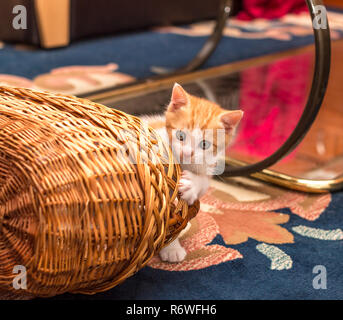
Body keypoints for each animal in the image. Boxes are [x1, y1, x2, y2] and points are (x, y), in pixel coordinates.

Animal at [141, 83, 243, 262]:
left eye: (204, 144)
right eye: (180, 135)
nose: (187, 153)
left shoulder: (206, 167)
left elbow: (201, 184)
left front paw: (191, 185)